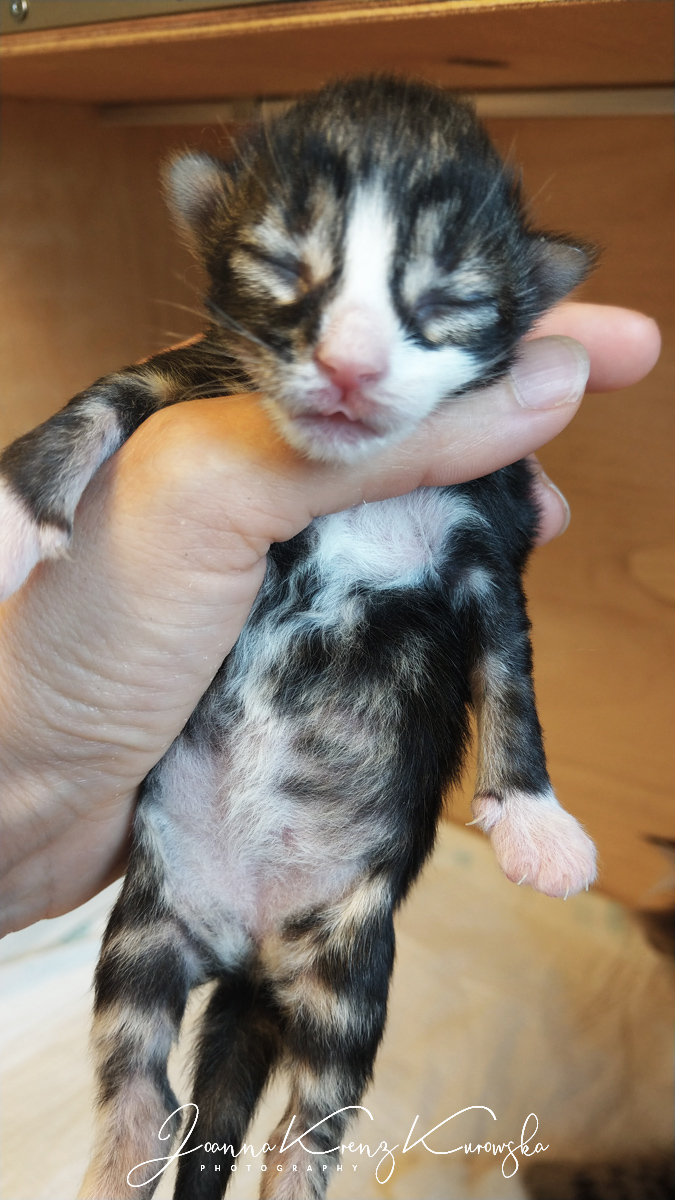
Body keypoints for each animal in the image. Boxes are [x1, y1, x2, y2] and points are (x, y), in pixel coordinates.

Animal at [0, 77, 598, 1200]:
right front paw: (14, 514)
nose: (352, 367)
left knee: (304, 1132)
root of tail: (247, 952)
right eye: (283, 266)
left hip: (347, 973)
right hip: (148, 927)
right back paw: (122, 1155)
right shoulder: (187, 381)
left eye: (447, 298)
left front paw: (537, 824)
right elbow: (97, 404)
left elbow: (512, 673)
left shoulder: (490, 535)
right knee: (147, 1092)